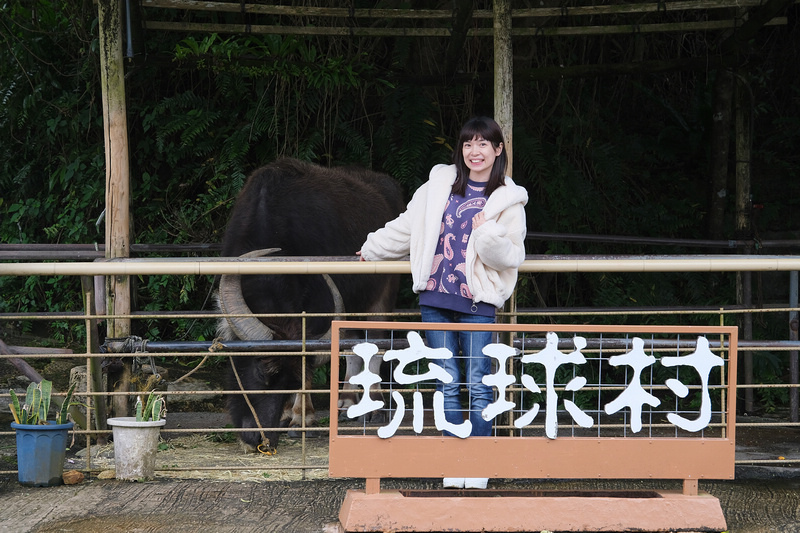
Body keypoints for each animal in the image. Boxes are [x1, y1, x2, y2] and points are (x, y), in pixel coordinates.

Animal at [217, 156, 404, 450]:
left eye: (287, 380)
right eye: (263, 370)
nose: (260, 439)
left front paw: (302, 419)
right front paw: (286, 414)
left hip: (383, 293)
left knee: (377, 341)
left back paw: (374, 404)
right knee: (352, 343)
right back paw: (346, 400)